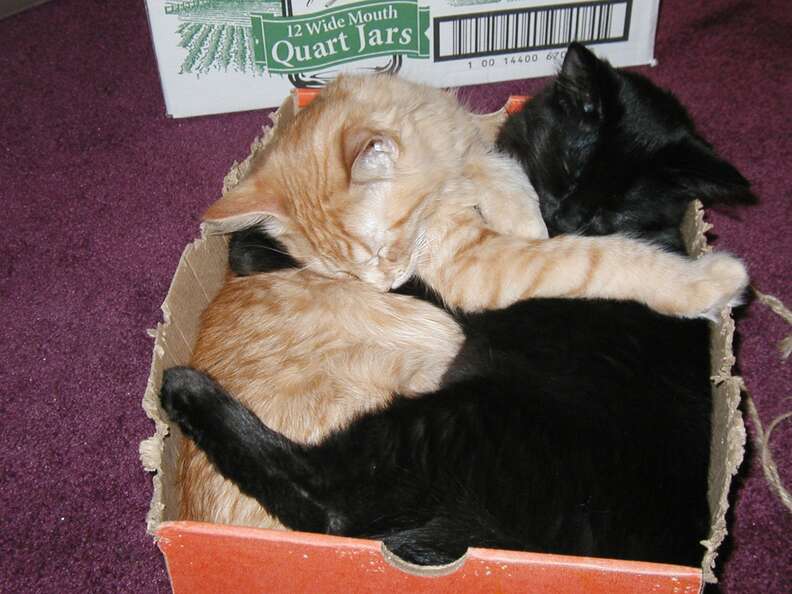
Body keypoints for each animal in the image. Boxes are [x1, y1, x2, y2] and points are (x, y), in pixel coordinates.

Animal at [204, 74, 748, 320]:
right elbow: (595, 260)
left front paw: (520, 209)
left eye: (380, 250)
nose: (382, 287)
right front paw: (704, 283)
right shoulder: (478, 266)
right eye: (341, 275)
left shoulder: (468, 143)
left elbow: (495, 164)